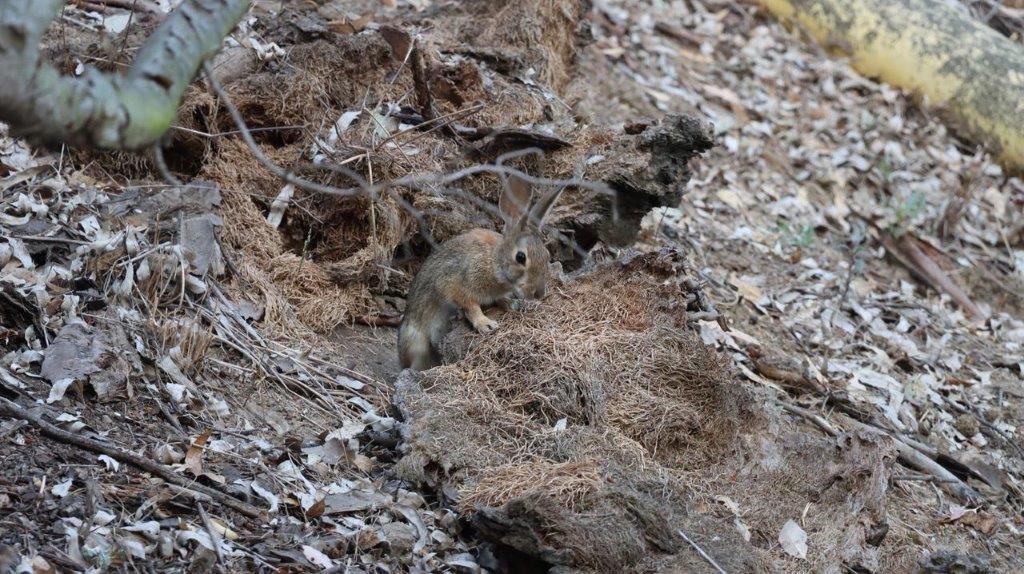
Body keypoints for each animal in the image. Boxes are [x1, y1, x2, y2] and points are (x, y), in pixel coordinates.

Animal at [395, 174, 565, 372]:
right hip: (415, 341)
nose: (539, 294)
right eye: (521, 257)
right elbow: (470, 305)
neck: (494, 262)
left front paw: (510, 303)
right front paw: (486, 324)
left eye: (547, 256)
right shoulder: (454, 283)